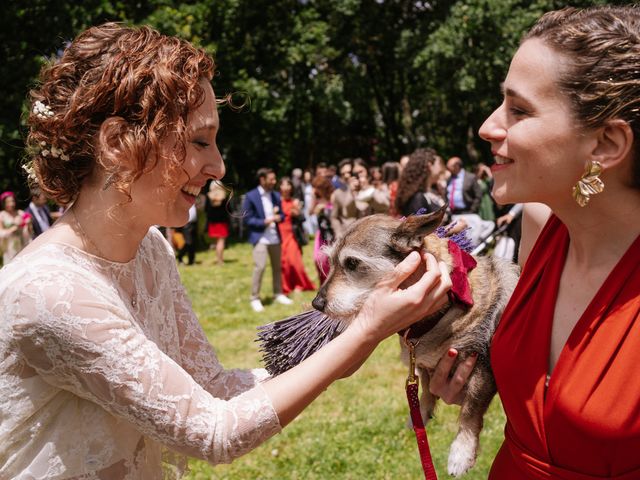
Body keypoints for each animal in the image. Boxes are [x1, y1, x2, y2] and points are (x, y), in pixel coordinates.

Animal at [312, 208, 520, 474]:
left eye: (352, 263)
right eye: (330, 261)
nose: (316, 303)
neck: (446, 308)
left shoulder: (482, 366)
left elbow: (470, 410)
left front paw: (461, 452)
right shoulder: (423, 364)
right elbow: (427, 391)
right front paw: (420, 414)